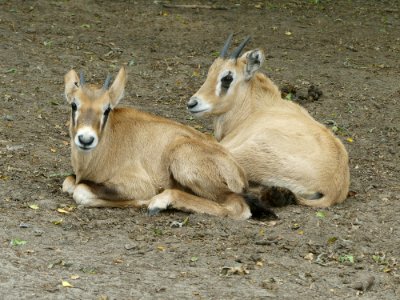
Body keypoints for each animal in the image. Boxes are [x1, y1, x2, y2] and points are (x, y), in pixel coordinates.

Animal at [61, 67, 278, 219]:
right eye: (74, 105)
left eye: (107, 109)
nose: (86, 139)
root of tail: (238, 171)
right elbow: (69, 183)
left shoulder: (137, 184)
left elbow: (80, 191)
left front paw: (144, 201)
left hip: (184, 160)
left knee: (237, 206)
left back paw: (160, 202)